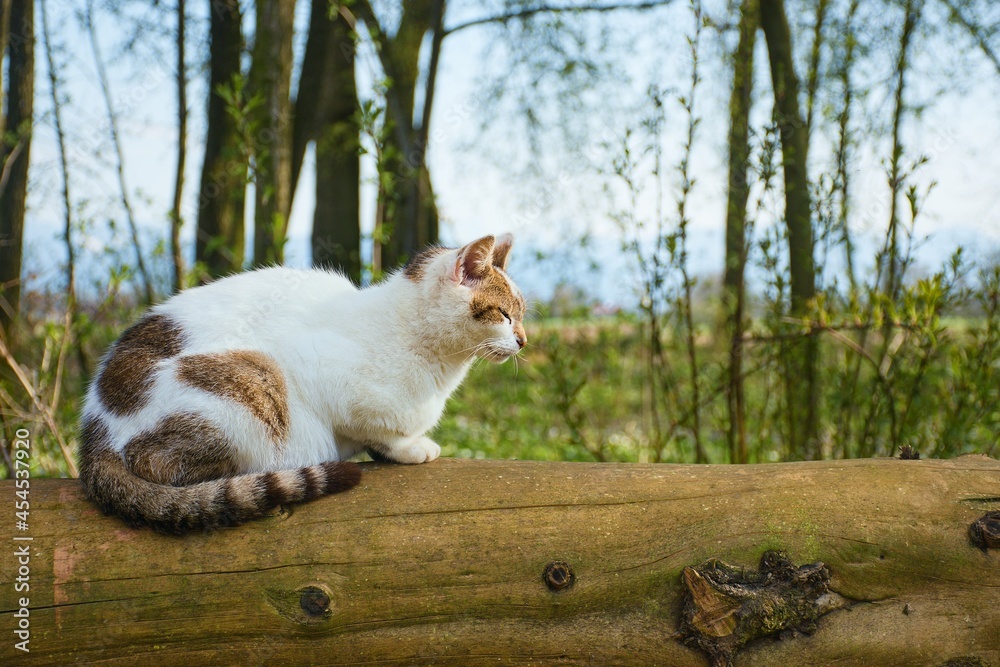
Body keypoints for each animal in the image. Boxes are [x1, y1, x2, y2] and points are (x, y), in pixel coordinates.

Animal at [80, 232, 532, 536]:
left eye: (522, 314)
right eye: (504, 315)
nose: (524, 340)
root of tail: (93, 434)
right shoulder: (318, 367)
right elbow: (377, 430)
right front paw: (408, 448)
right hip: (250, 381)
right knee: (158, 464)